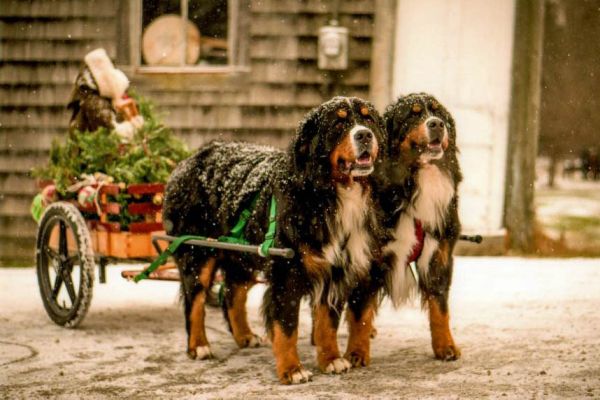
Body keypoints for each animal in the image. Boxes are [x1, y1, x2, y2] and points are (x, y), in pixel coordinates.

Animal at [162, 97, 386, 384]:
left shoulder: (335, 269)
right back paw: (199, 346)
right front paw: (292, 369)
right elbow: (287, 326)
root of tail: (187, 160)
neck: (332, 194)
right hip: (197, 253)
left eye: (368, 119)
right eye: (338, 122)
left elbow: (327, 322)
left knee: (233, 294)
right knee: (195, 302)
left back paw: (245, 336)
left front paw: (331, 359)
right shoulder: (286, 272)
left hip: (243, 256)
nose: (364, 135)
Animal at [346, 93, 464, 362]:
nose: (436, 124)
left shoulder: (439, 252)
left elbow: (440, 307)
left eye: (438, 113)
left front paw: (445, 346)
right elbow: (361, 310)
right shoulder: (368, 256)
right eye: (413, 114)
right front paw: (356, 352)